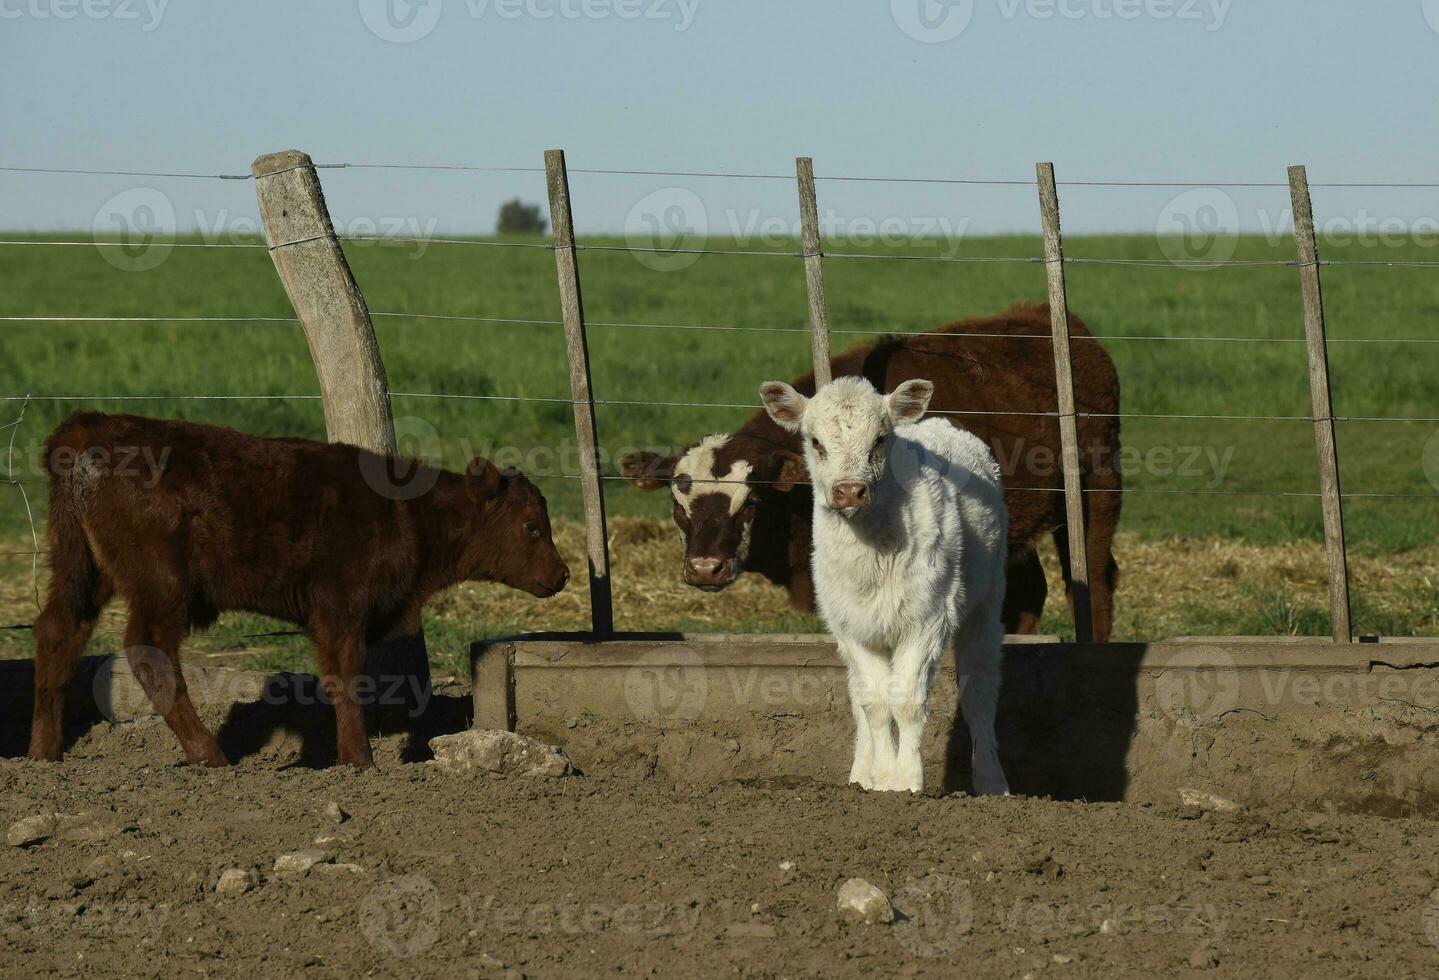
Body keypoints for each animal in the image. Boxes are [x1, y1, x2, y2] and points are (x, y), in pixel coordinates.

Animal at [759, 374, 1007, 794]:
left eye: (879, 440)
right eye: (815, 442)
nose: (849, 491)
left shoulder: (929, 617)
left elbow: (906, 700)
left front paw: (906, 780)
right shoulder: (850, 627)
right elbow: (873, 703)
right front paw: (880, 778)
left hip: (987, 603)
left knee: (980, 690)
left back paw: (992, 781)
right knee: (861, 696)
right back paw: (862, 770)